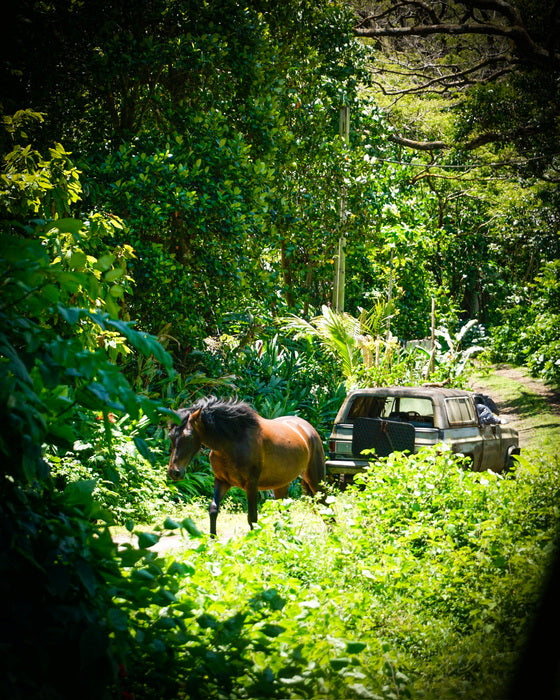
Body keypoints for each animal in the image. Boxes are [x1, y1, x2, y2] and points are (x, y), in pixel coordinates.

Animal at [167, 396, 325, 537]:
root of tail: (308, 429)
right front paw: (212, 540)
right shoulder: (221, 481)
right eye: (170, 436)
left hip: (315, 480)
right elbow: (213, 509)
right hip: (281, 485)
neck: (231, 443)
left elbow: (252, 518)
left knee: (325, 506)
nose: (174, 472)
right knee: (285, 512)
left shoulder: (251, 484)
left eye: (188, 436)